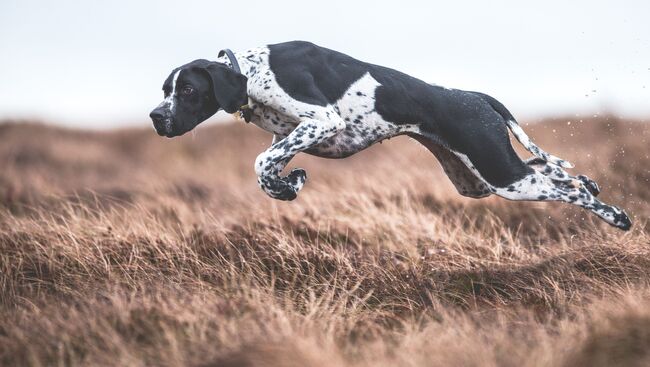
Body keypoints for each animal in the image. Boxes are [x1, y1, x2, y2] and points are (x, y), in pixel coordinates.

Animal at [151, 40, 628, 230]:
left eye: (188, 90)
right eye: (164, 91)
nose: (156, 117)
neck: (250, 70)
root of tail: (474, 96)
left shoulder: (322, 120)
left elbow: (260, 163)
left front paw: (289, 184)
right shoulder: (293, 135)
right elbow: (269, 167)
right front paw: (288, 185)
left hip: (500, 174)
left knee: (566, 189)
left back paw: (616, 216)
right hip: (478, 177)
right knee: (556, 173)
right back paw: (588, 182)